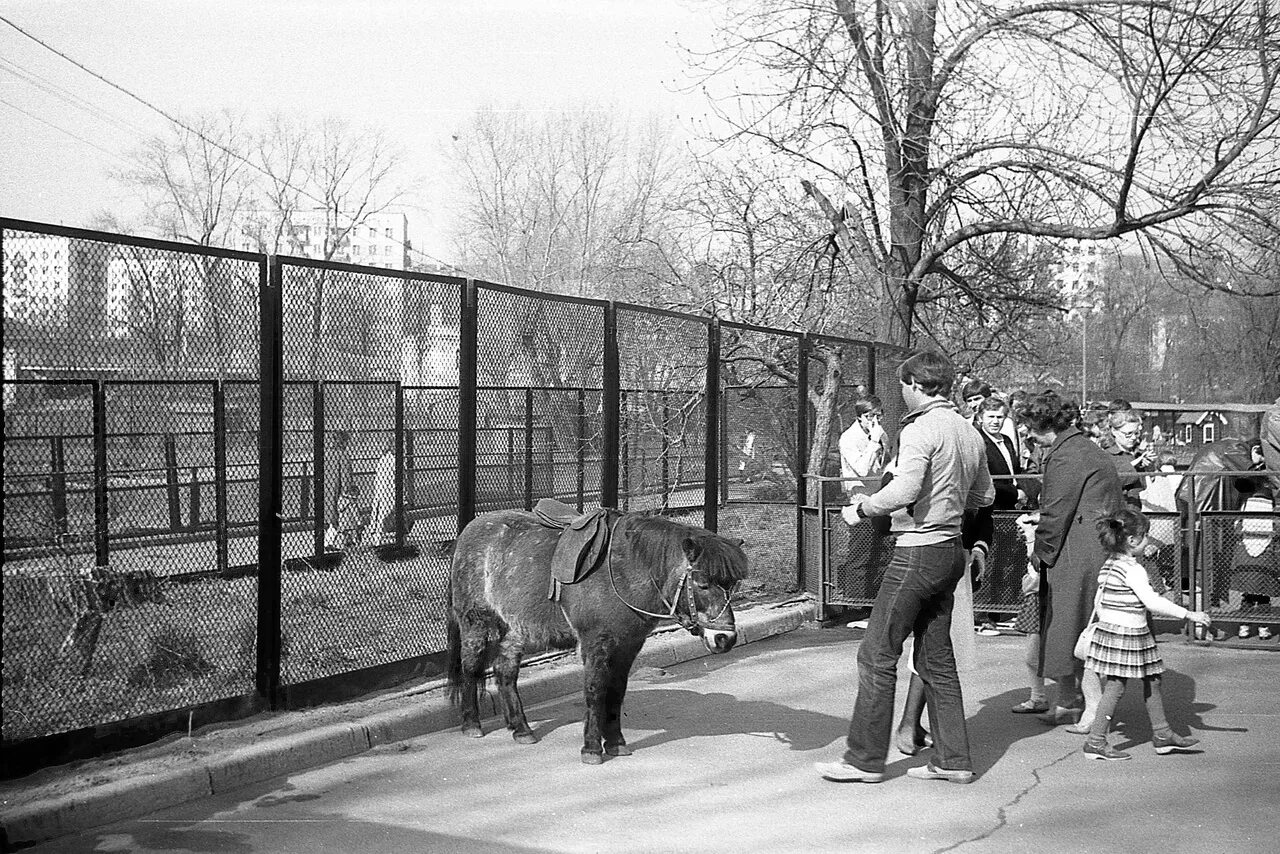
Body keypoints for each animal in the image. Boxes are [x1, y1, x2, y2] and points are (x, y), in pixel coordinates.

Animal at [450, 512, 747, 763]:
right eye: (702, 584)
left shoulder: (628, 646)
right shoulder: (596, 644)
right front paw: (592, 747)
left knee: (505, 672)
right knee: (470, 668)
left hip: (515, 629)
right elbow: (595, 691)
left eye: (732, 584)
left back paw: (521, 729)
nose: (725, 638)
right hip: (478, 624)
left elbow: (616, 692)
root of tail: (469, 532)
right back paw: (472, 725)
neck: (625, 571)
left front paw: (615, 742)